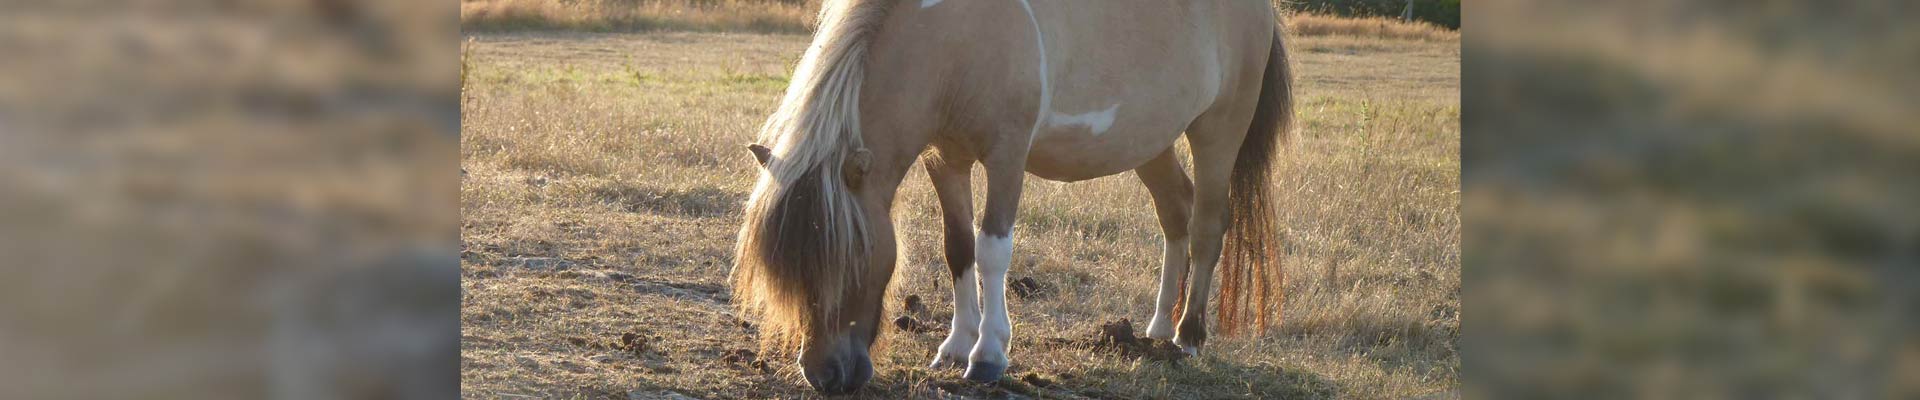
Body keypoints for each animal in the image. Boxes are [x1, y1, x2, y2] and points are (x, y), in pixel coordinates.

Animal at [729, 0, 1290, 394]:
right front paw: (957, 346)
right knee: (1175, 213)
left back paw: (1188, 336)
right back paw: (1154, 331)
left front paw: (989, 356)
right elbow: (958, 248)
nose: (824, 375)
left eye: (852, 257)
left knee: (1206, 226)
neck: (951, 36)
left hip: (1218, 130)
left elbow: (993, 250)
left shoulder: (1007, 156)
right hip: (1151, 143)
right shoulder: (945, 159)